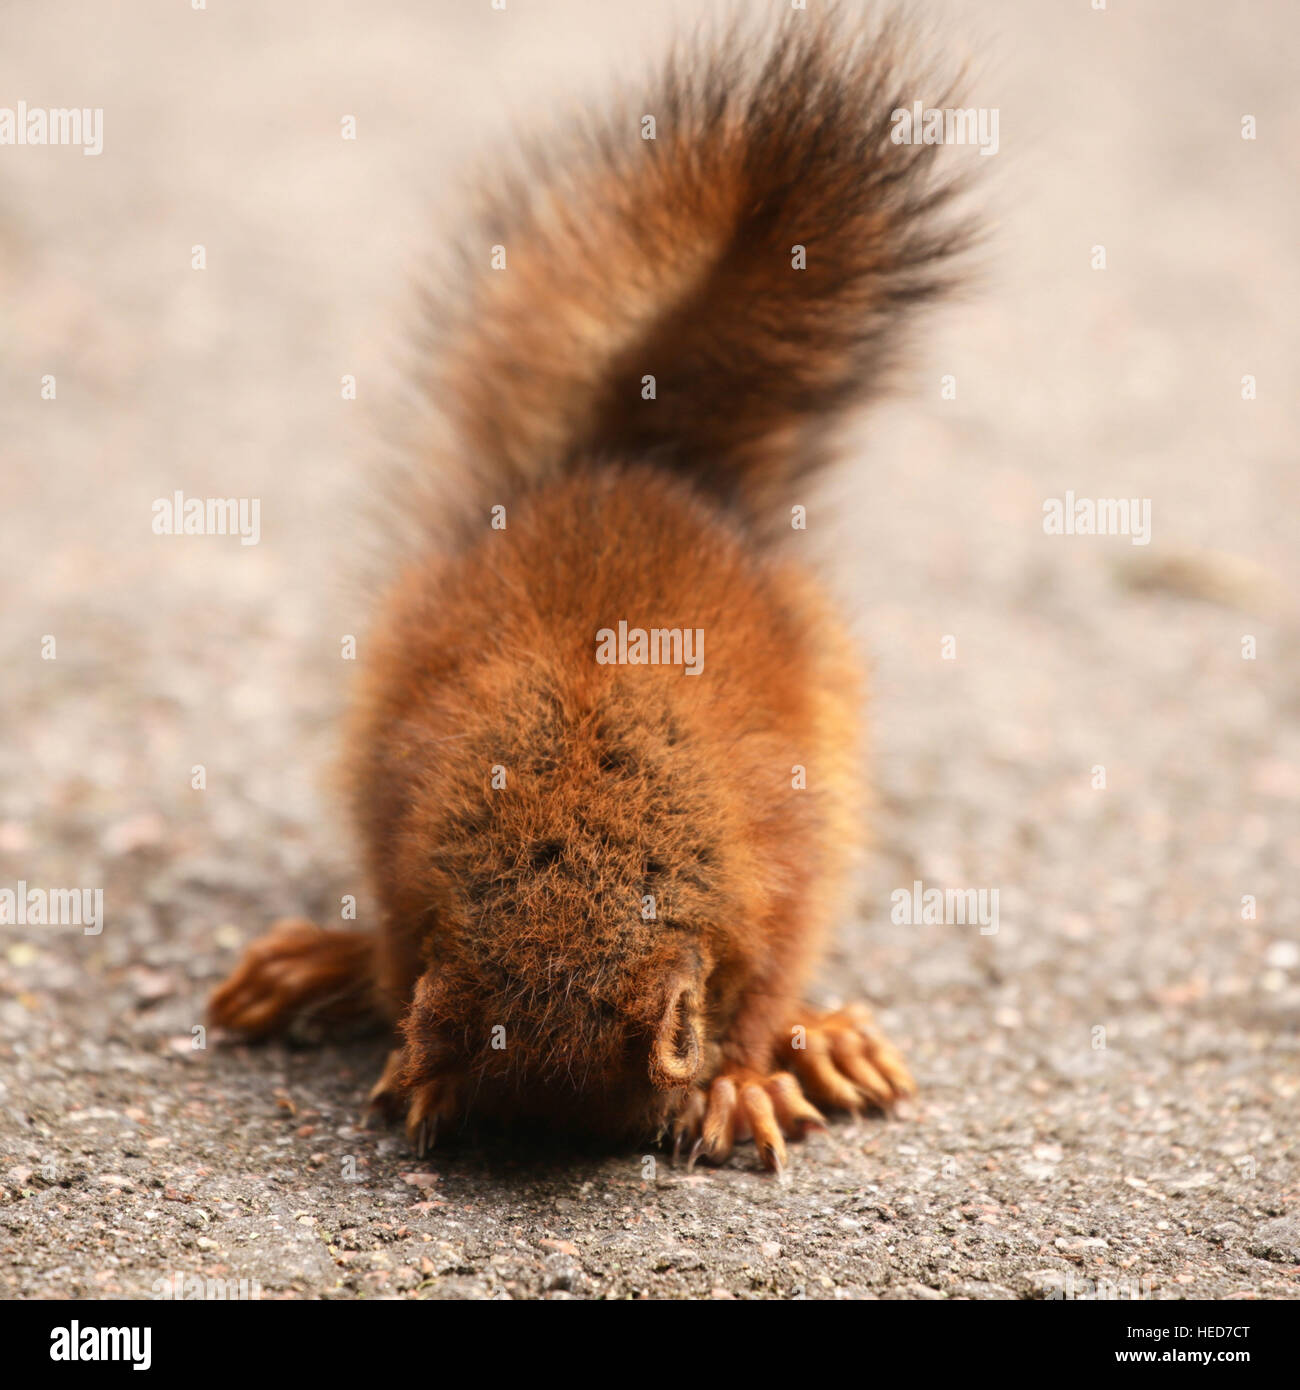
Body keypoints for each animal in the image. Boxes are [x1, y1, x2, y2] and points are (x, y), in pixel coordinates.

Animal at [208, 8, 973, 1173]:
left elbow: (770, 976)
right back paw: (314, 965)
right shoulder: (401, 840)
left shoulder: (778, 863)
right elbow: (392, 949)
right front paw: (407, 1051)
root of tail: (638, 465)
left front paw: (745, 1071)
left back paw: (828, 1041)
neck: (578, 835)